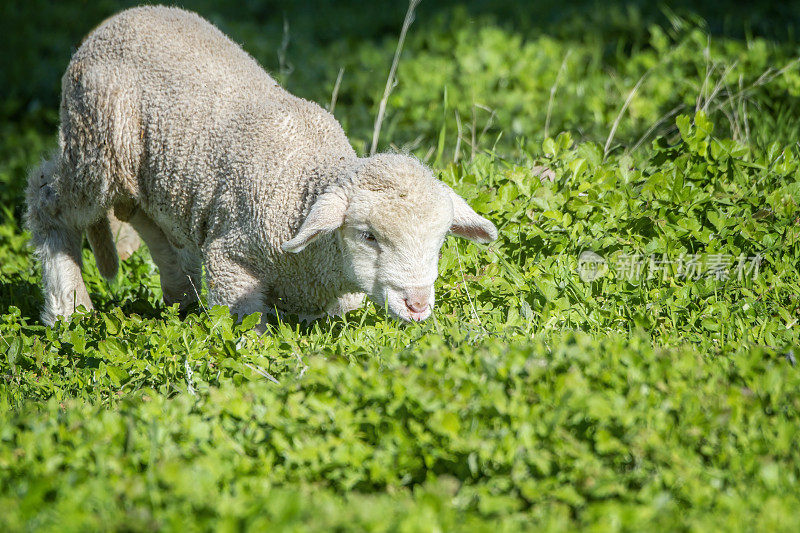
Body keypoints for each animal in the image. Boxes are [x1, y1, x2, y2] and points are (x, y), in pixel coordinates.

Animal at [23, 5, 494, 328]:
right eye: (368, 236)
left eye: (440, 241)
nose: (418, 305)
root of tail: (120, 17)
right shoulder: (231, 261)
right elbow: (249, 329)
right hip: (94, 143)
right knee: (47, 198)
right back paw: (68, 308)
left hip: (149, 172)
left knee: (153, 226)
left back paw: (178, 299)